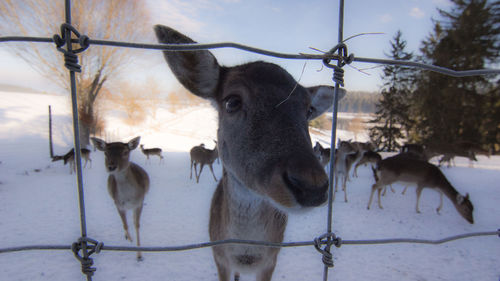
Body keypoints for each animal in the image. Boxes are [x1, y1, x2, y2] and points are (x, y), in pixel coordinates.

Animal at [152, 24, 340, 280]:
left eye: (309, 109)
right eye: (232, 101)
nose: (312, 186)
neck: (246, 254)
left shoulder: (271, 260)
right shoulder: (219, 257)